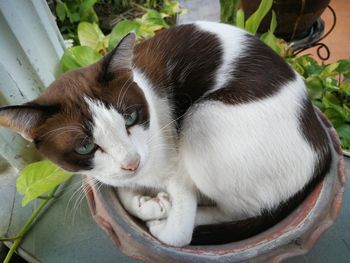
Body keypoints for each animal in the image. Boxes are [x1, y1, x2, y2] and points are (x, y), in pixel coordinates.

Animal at [0, 22, 330, 248]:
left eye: (130, 118)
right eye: (85, 147)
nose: (132, 162)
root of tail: (324, 149)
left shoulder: (177, 165)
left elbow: (178, 234)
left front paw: (160, 216)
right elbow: (115, 185)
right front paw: (142, 201)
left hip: (203, 118)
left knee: (239, 211)